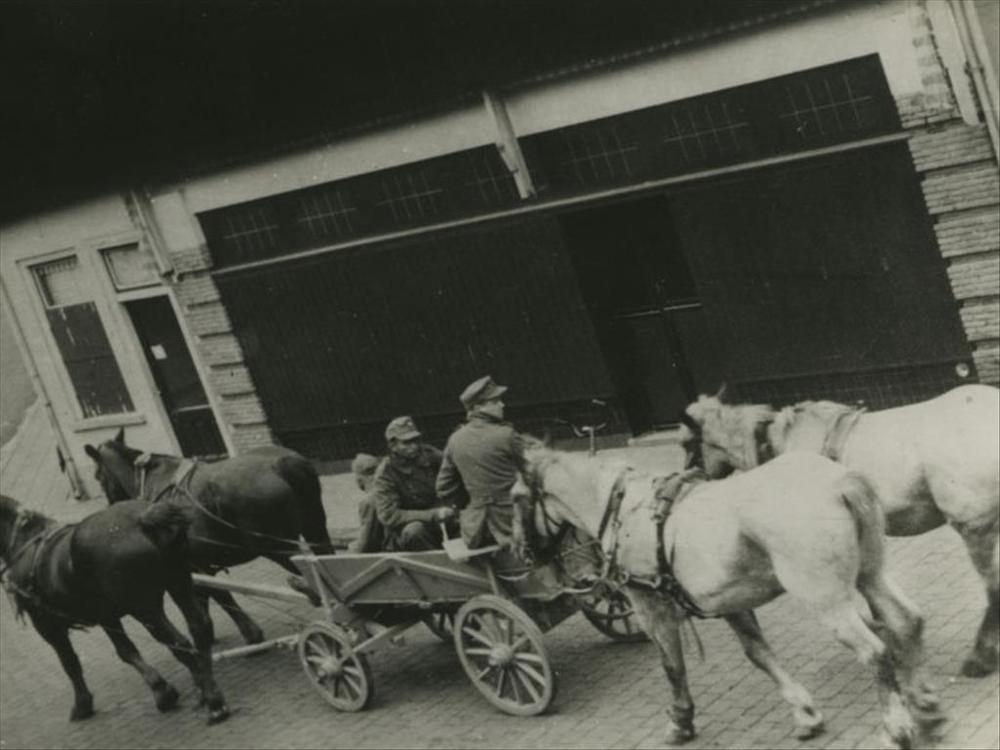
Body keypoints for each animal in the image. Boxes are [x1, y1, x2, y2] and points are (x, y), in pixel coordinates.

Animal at [0, 494, 229, 724]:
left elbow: (71, 663)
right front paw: (166, 690)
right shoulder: (106, 617)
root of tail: (142, 519)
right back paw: (210, 694)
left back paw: (212, 702)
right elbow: (126, 650)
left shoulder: (48, 627)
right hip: (179, 582)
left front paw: (83, 704)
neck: (23, 543)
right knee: (200, 628)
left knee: (179, 643)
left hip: (145, 608)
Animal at [84, 428, 334, 646]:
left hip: (277, 548)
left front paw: (248, 633)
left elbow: (219, 595)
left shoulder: (194, 564)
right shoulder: (194, 564)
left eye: (97, 475)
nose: (111, 504)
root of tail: (282, 464)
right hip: (316, 529)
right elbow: (206, 595)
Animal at [512, 445, 940, 749]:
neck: (626, 510)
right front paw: (805, 714)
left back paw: (897, 727)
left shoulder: (649, 605)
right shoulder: (729, 601)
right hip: (871, 575)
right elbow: (758, 654)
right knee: (906, 621)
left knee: (875, 651)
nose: (521, 553)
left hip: (826, 600)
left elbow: (672, 666)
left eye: (515, 497)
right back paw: (924, 704)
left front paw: (680, 721)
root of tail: (839, 483)